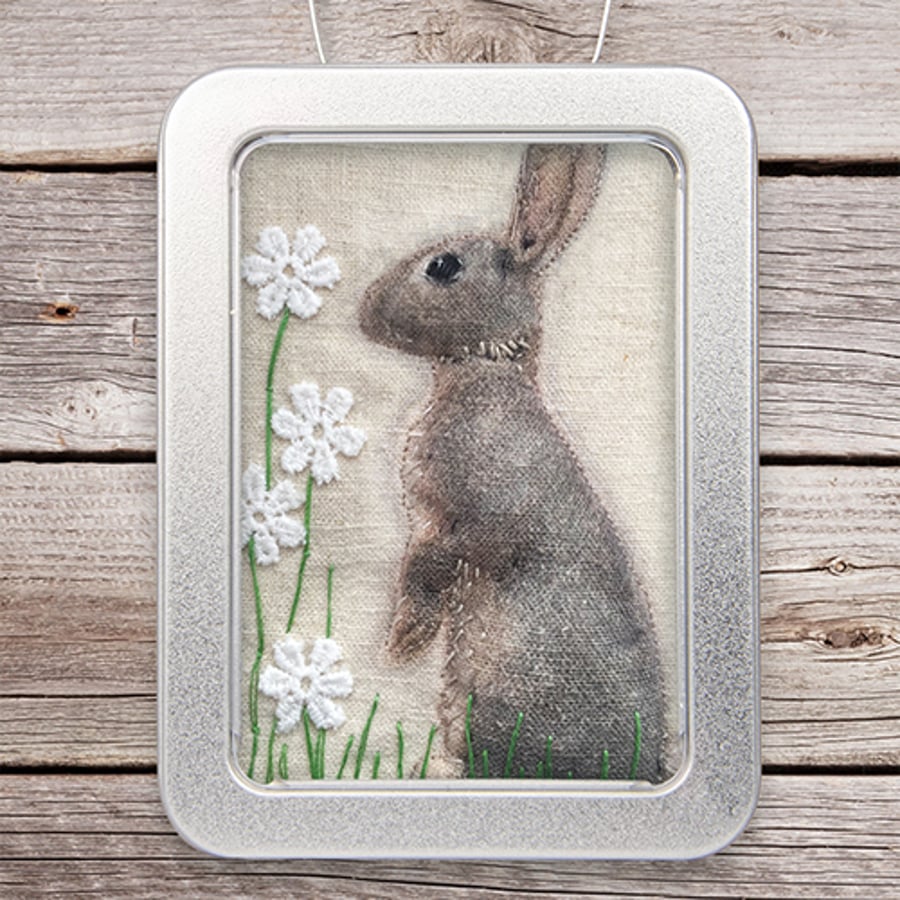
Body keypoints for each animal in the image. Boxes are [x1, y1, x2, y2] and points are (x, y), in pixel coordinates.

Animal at [359, 145, 667, 781]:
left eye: (443, 266)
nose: (364, 312)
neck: (487, 366)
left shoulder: (455, 526)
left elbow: (423, 577)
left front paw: (400, 646)